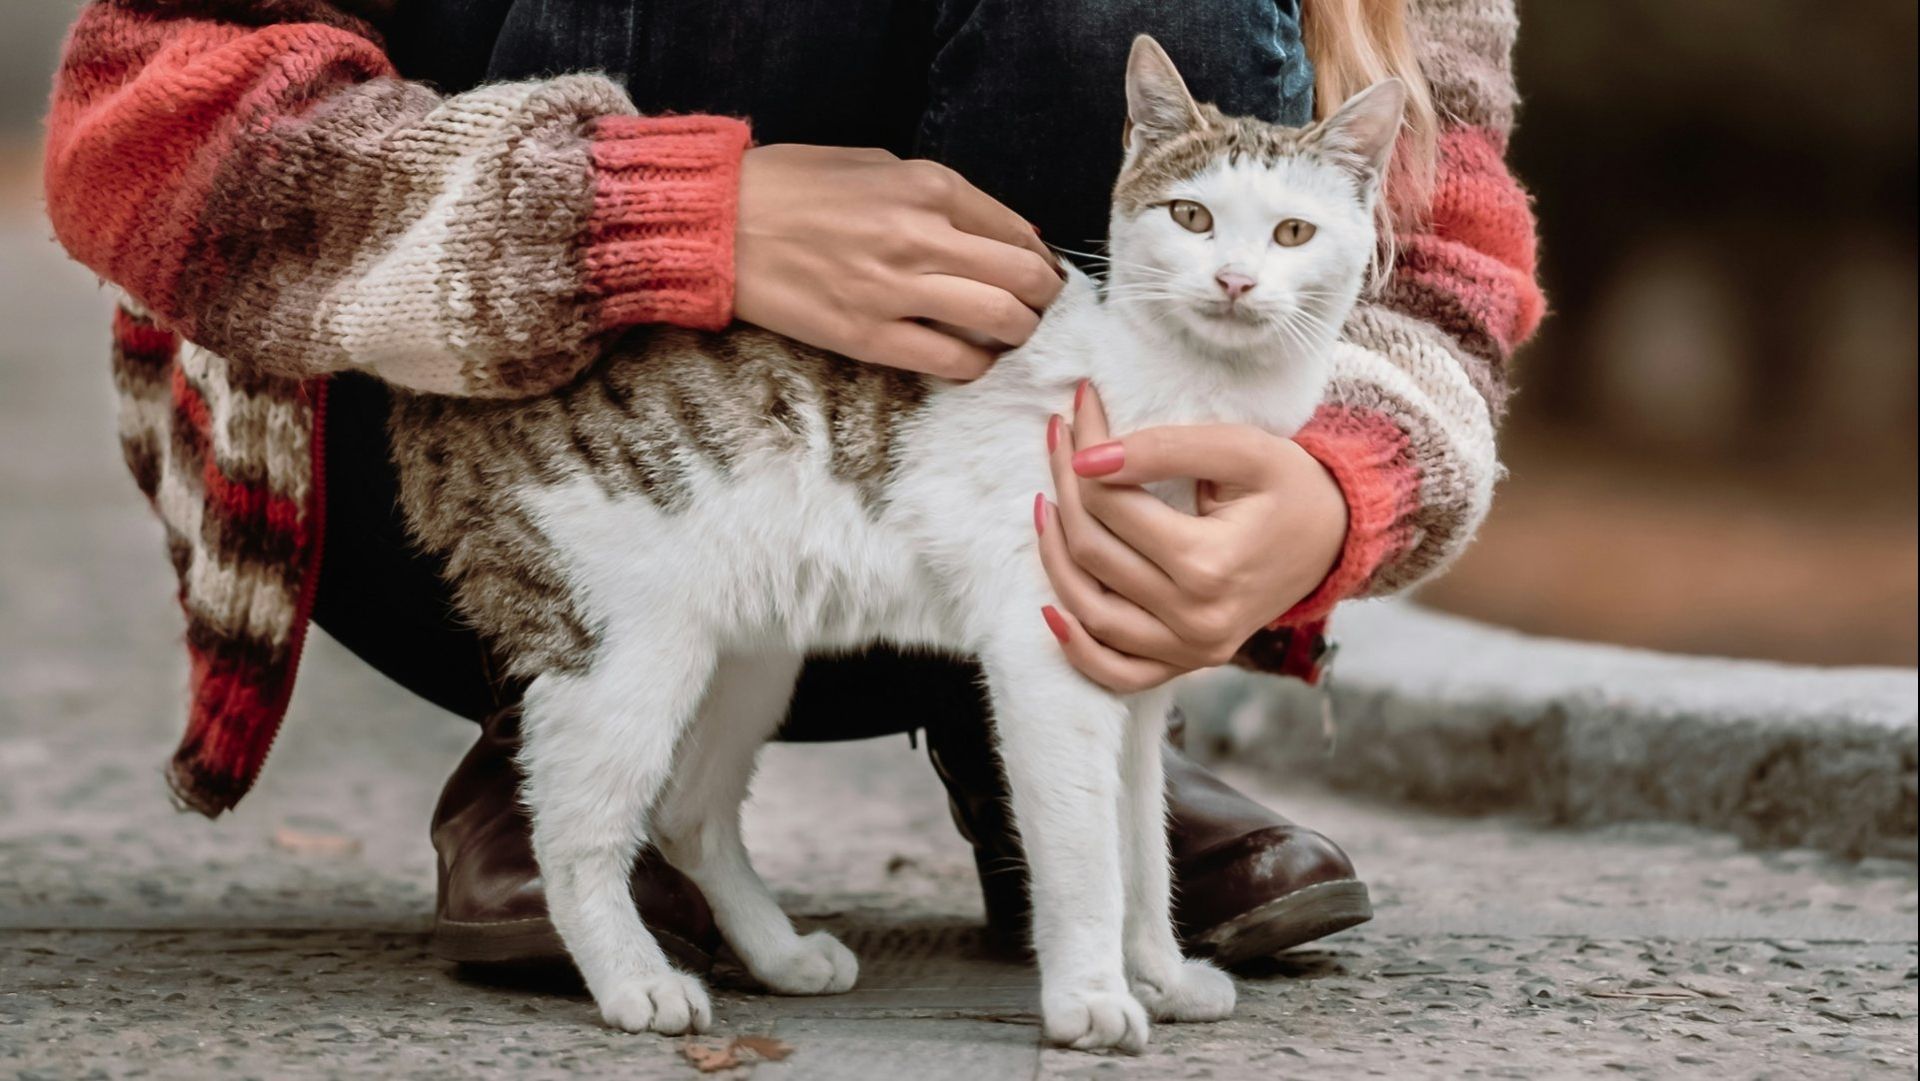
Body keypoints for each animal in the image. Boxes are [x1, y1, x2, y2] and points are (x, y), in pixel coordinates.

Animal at [385, 36, 1397, 1059]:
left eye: (1293, 234)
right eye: (1192, 217)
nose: (1233, 281)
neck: (1176, 389)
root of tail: (442, 398)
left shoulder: (1139, 671)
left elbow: (1142, 848)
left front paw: (1161, 970)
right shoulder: (1045, 655)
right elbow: (1085, 850)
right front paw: (1091, 996)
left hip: (746, 646)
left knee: (687, 811)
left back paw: (780, 954)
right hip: (626, 648)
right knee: (572, 829)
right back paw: (633, 977)